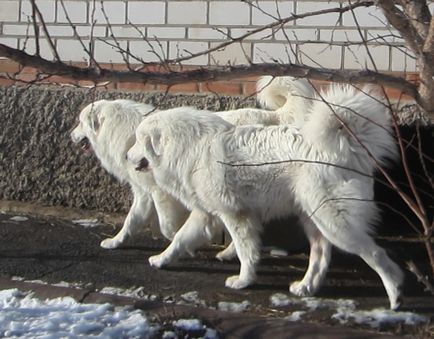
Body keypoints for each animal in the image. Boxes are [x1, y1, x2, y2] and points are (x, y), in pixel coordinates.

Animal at [71, 77, 316, 252]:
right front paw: (115, 241)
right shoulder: (144, 192)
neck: (126, 132)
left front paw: (181, 239)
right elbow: (131, 221)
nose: (70, 135)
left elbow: (167, 226)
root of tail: (272, 116)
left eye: (79, 122)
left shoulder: (160, 193)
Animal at [128, 85, 404, 310]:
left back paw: (395, 294)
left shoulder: (235, 215)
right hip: (314, 220)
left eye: (139, 141)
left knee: (375, 254)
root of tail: (346, 148)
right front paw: (161, 259)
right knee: (320, 255)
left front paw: (244, 280)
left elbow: (245, 250)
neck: (191, 146)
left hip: (336, 223)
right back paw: (306, 287)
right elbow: (180, 239)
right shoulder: (207, 214)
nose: (127, 156)